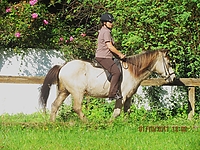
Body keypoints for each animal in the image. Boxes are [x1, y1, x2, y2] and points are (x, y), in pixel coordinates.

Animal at [38, 49, 175, 122]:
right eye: (169, 63)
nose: (173, 78)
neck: (132, 71)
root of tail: (63, 66)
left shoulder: (129, 97)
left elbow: (127, 111)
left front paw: (126, 124)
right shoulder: (121, 97)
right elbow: (117, 112)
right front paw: (109, 124)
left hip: (64, 92)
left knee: (55, 105)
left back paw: (52, 123)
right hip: (77, 92)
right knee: (76, 108)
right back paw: (87, 123)